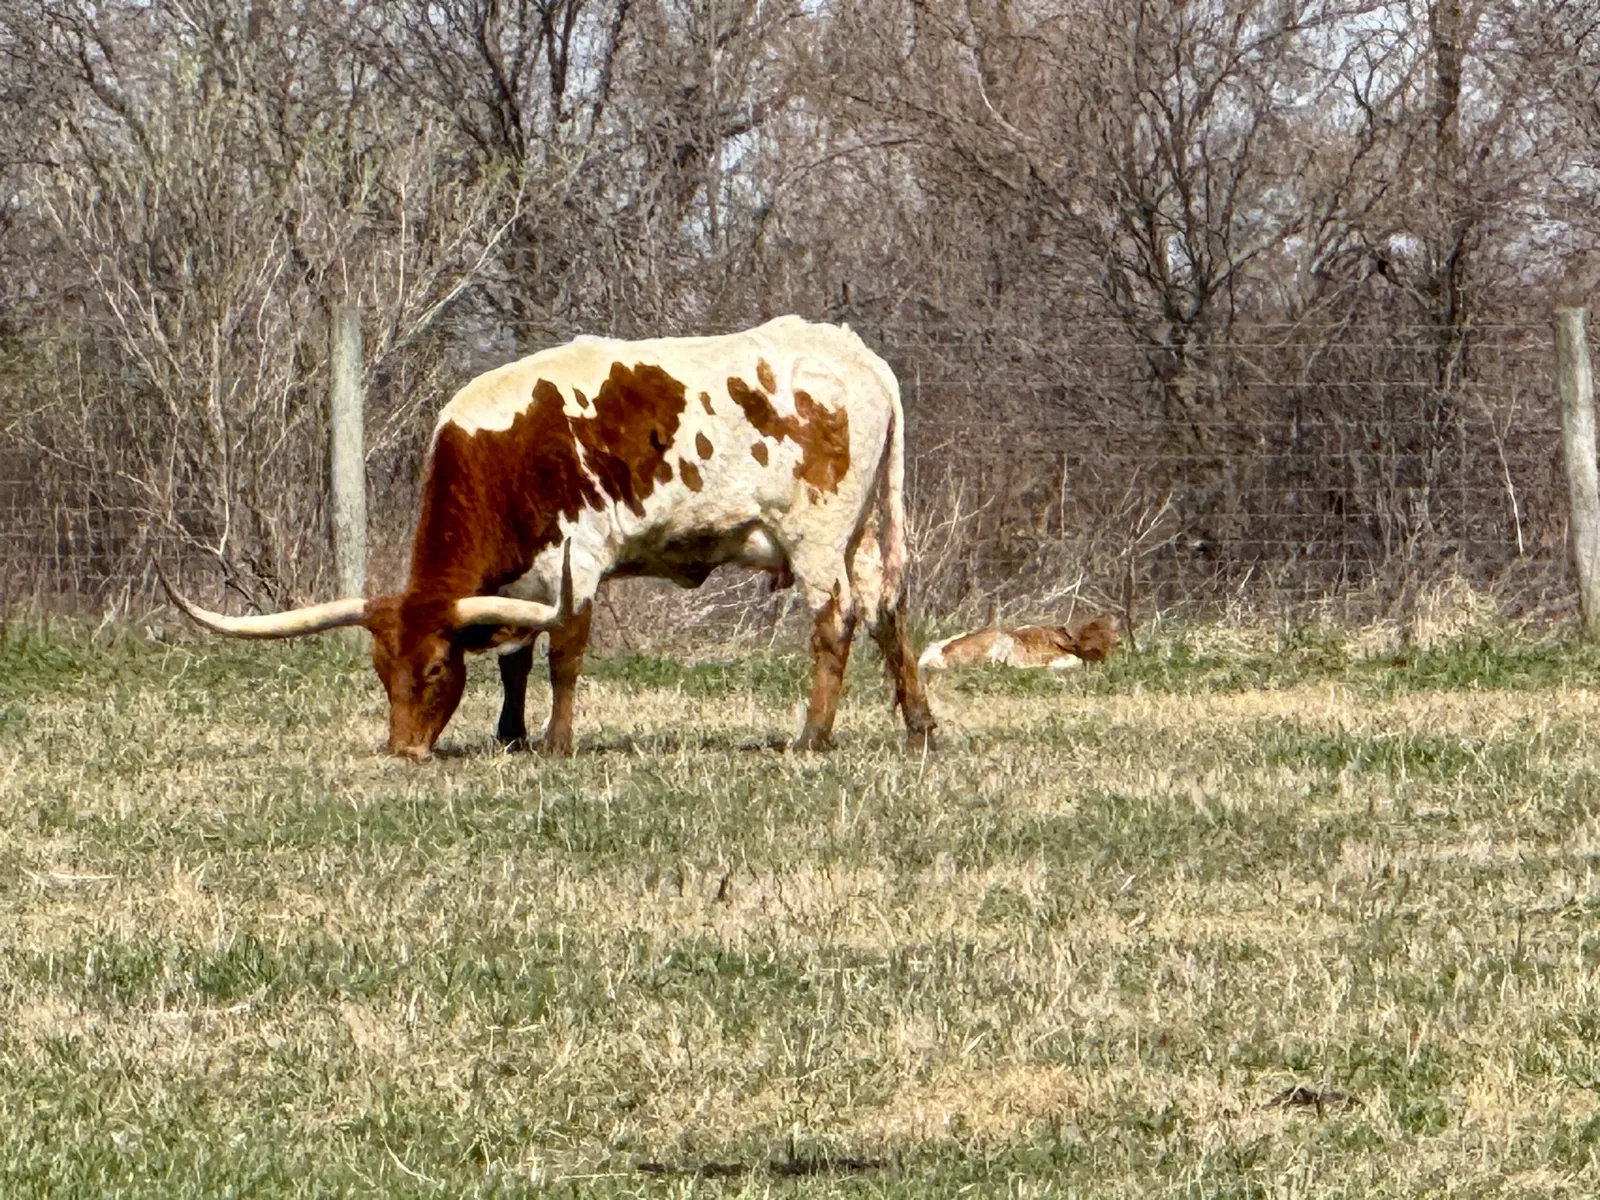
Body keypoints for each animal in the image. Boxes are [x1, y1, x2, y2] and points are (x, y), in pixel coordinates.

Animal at [165, 316, 937, 758]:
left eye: (437, 670)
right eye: (382, 672)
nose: (404, 751)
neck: (502, 454)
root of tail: (855, 352)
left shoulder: (580, 561)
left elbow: (563, 654)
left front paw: (557, 743)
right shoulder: (520, 580)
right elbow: (516, 658)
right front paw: (510, 735)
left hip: (816, 537)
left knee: (836, 620)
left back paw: (812, 735)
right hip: (862, 534)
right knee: (887, 609)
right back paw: (918, 724)